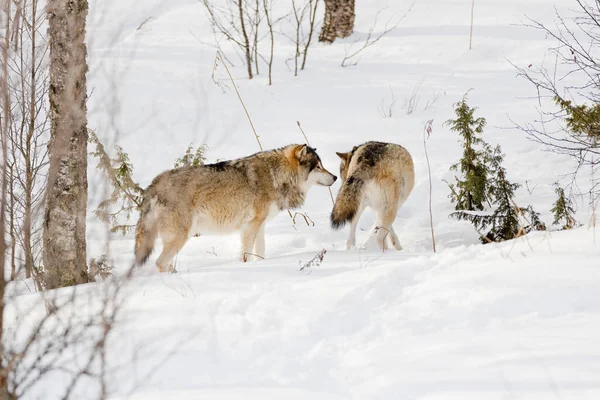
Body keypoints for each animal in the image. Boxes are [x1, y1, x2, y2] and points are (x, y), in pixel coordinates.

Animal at [134, 144, 338, 272]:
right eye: (318, 167)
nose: (336, 177)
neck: (276, 175)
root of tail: (154, 184)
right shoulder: (251, 226)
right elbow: (246, 254)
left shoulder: (260, 226)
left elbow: (261, 253)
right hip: (181, 236)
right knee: (160, 263)